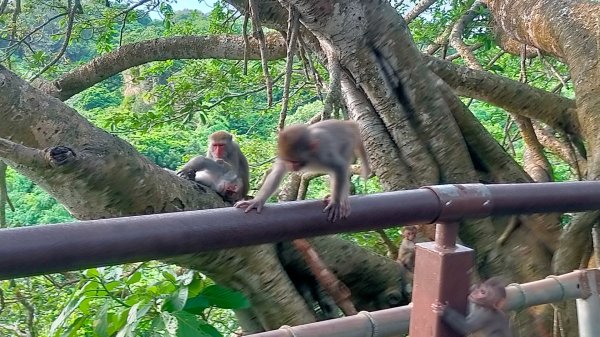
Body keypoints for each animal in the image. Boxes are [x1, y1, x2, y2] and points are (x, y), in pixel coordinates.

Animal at [234, 119, 370, 222]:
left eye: (295, 161)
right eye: (288, 161)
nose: (291, 167)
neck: (310, 158)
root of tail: (348, 124)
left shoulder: (323, 154)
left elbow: (339, 167)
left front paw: (335, 203)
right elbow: (276, 174)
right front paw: (256, 201)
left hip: (348, 143)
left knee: (343, 166)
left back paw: (343, 200)